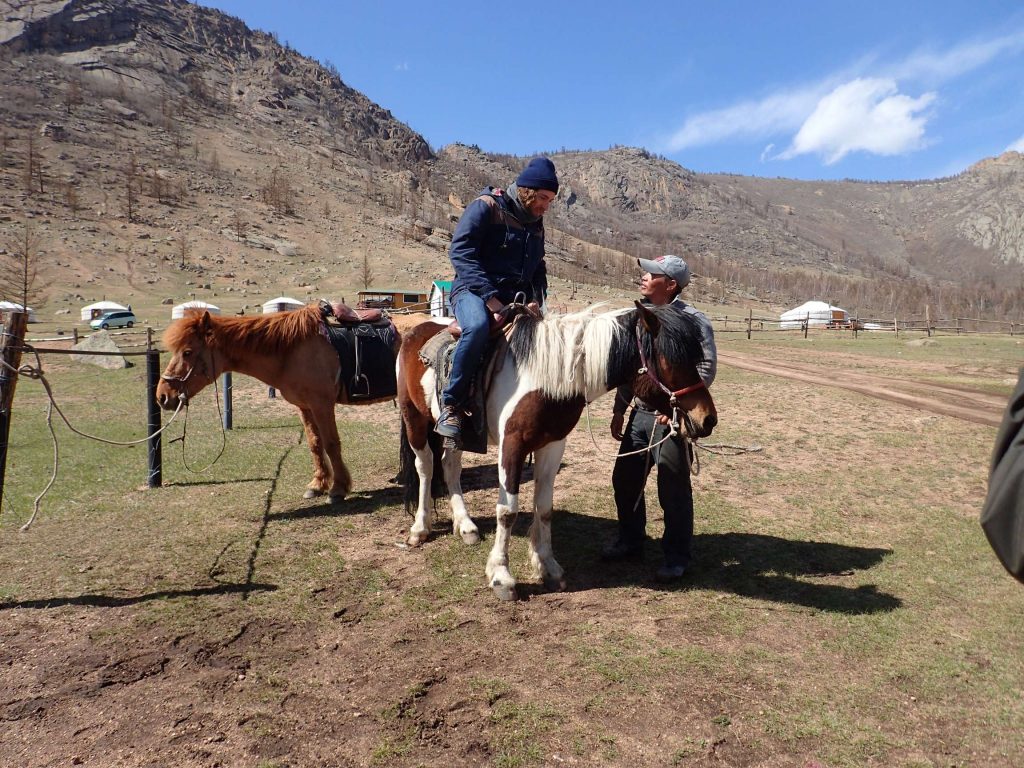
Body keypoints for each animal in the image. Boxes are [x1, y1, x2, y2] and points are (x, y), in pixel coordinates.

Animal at [155, 307, 403, 505]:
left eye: (187, 352)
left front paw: (338, 488)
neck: (290, 351)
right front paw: (318, 484)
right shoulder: (305, 407)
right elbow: (315, 443)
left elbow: (332, 444)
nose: (162, 396)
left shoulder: (322, 404)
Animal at [395, 301, 716, 602]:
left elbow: (545, 508)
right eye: (670, 360)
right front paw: (501, 577)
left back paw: (466, 527)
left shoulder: (553, 445)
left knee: (450, 466)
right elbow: (507, 511)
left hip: (457, 435)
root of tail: (418, 328)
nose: (708, 419)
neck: (546, 377)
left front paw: (548, 567)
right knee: (426, 467)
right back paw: (420, 529)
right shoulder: (512, 446)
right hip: (414, 418)